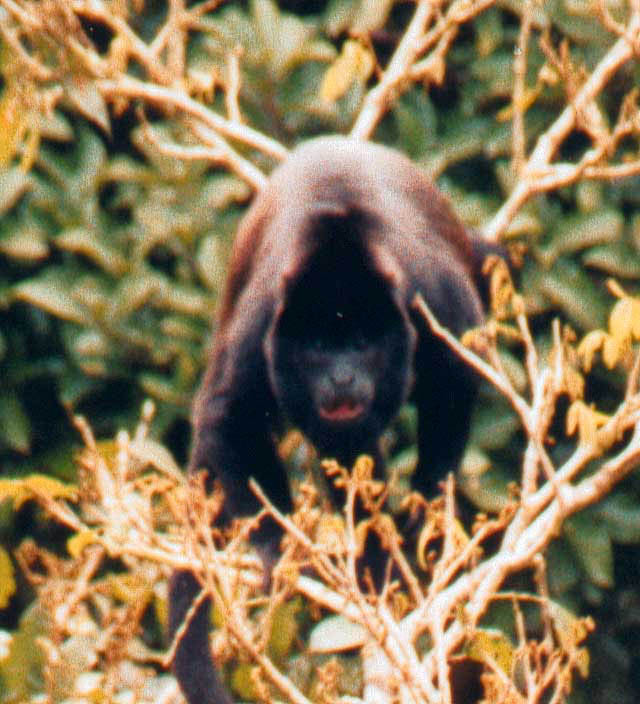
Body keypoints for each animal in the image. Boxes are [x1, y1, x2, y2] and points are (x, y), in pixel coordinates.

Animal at [169, 136, 490, 704]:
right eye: (319, 347)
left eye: (360, 343)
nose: (341, 378)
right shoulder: (264, 315)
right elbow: (226, 413)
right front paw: (278, 548)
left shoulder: (429, 291)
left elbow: (455, 380)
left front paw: (421, 514)